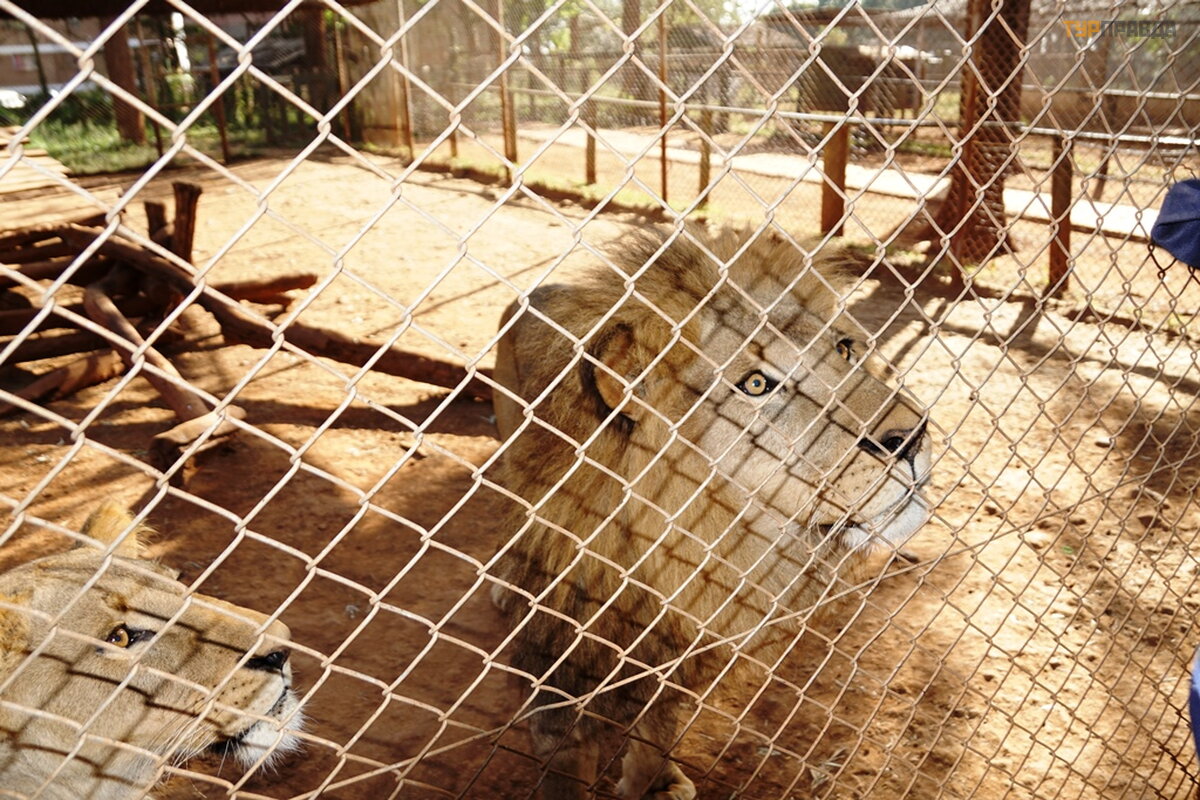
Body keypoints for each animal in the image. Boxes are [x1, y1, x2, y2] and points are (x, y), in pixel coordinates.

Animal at [489, 226, 932, 799]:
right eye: (757, 385)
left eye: (845, 349)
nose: (914, 436)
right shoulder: (559, 690)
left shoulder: (683, 660)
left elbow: (658, 729)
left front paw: (655, 784)